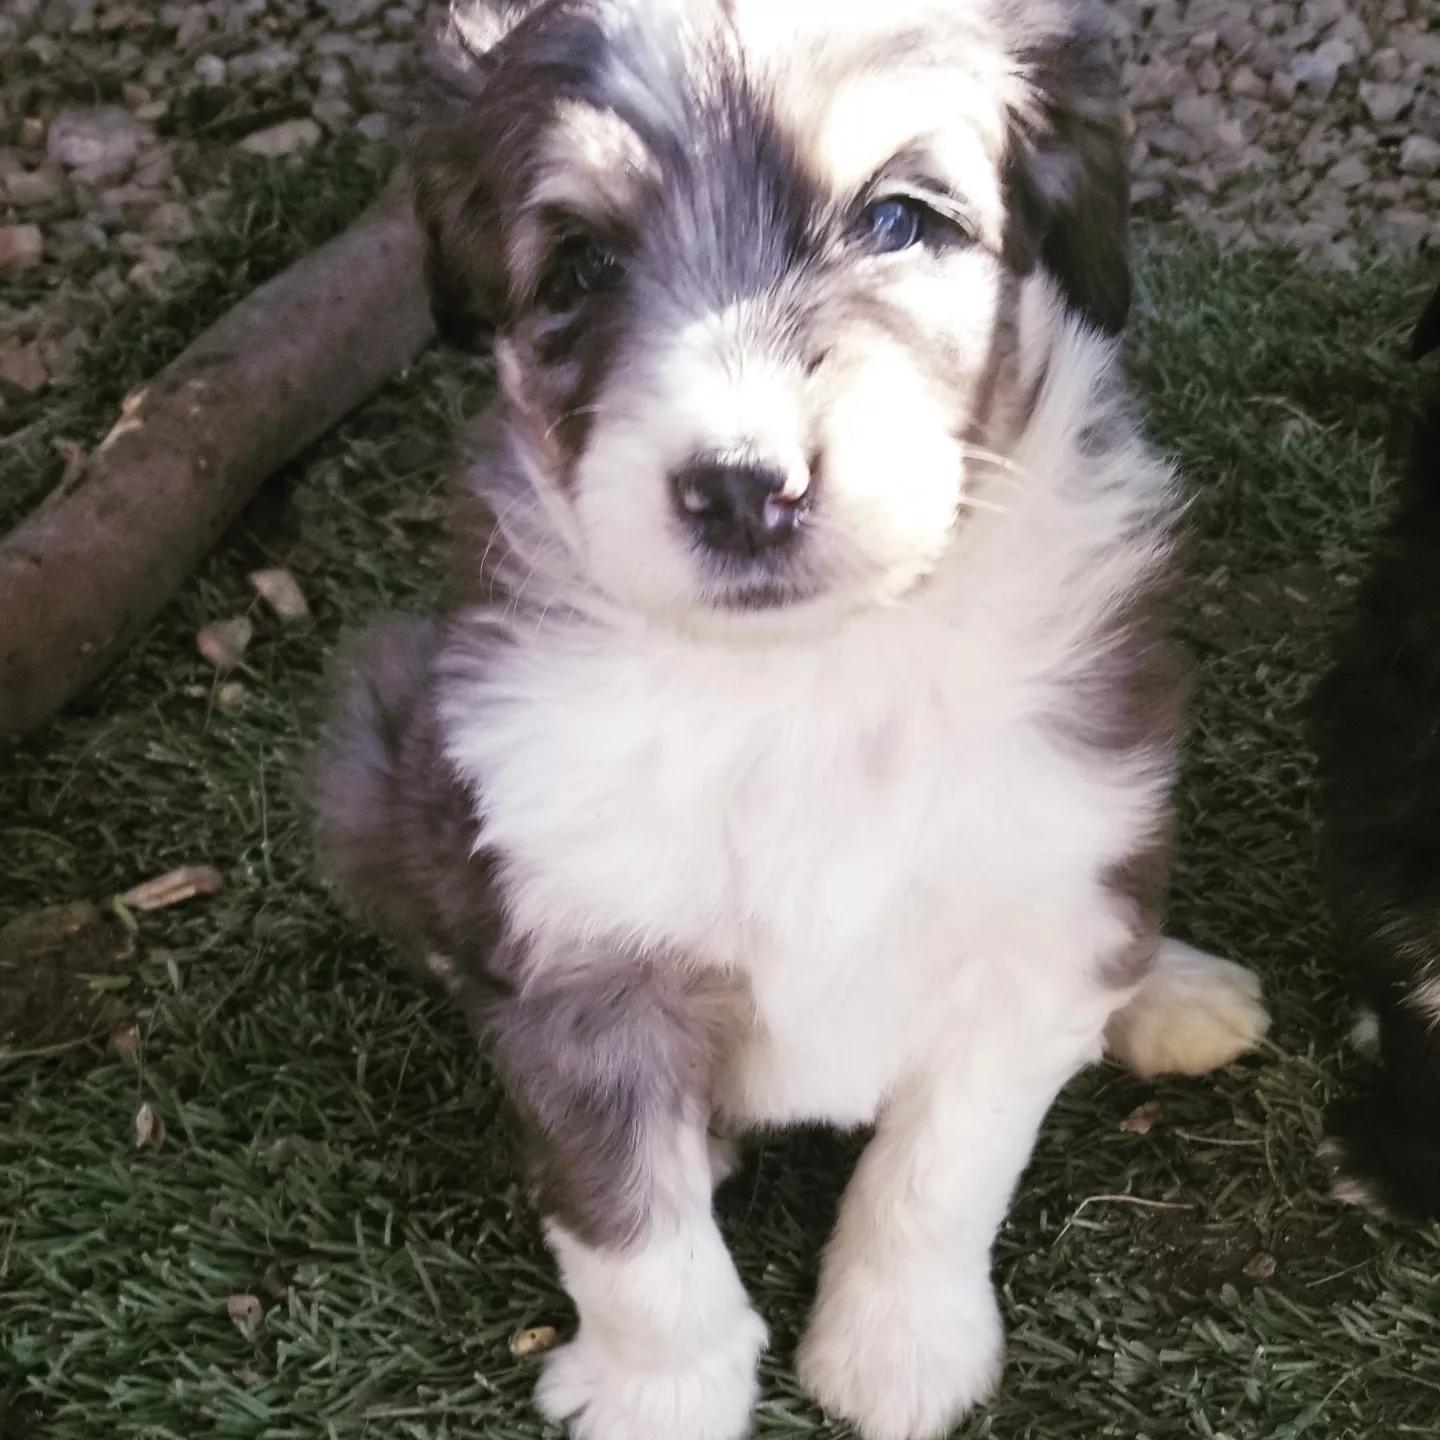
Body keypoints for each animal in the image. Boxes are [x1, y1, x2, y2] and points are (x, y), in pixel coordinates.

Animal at [311, 3, 1271, 1437]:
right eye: (581, 265)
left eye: (899, 220)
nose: (742, 488)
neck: (805, 674)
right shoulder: (580, 959)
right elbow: (634, 1235)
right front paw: (659, 1395)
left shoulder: (1033, 906)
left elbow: (944, 1163)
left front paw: (899, 1352)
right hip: (379, 758)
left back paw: (1170, 989)